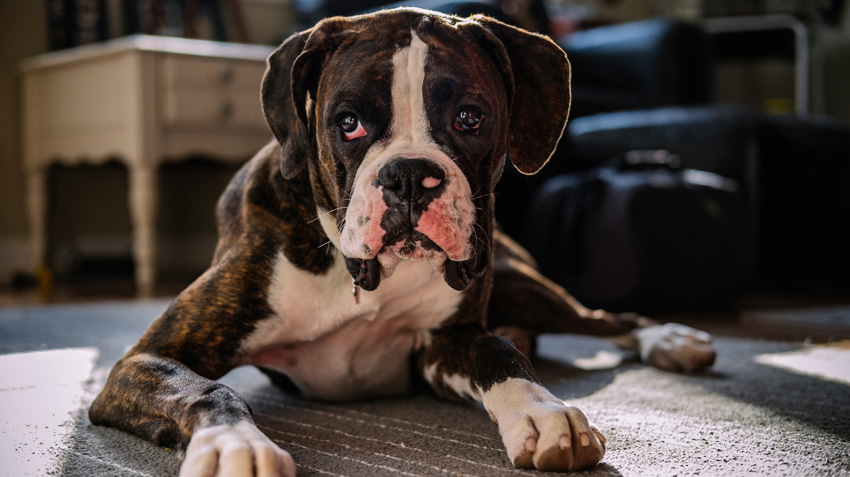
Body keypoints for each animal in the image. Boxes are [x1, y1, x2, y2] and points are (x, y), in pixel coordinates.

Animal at [91, 8, 716, 476]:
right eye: (348, 123)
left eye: (470, 117)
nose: (411, 176)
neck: (354, 278)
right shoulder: (145, 360)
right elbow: (208, 391)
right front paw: (233, 446)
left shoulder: (447, 345)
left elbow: (498, 351)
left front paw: (543, 413)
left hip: (521, 284)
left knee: (606, 318)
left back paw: (671, 339)